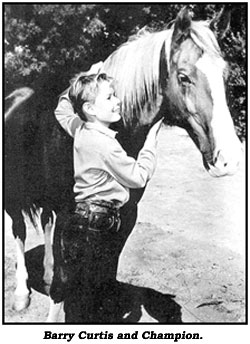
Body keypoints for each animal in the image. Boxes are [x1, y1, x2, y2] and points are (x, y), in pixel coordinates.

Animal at [3, 6, 242, 322]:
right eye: (184, 77)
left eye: (224, 75)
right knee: (18, 231)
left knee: (44, 223)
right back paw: (21, 295)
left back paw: (46, 273)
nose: (230, 159)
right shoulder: (70, 216)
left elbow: (104, 275)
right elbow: (64, 283)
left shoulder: (126, 216)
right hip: (12, 195)